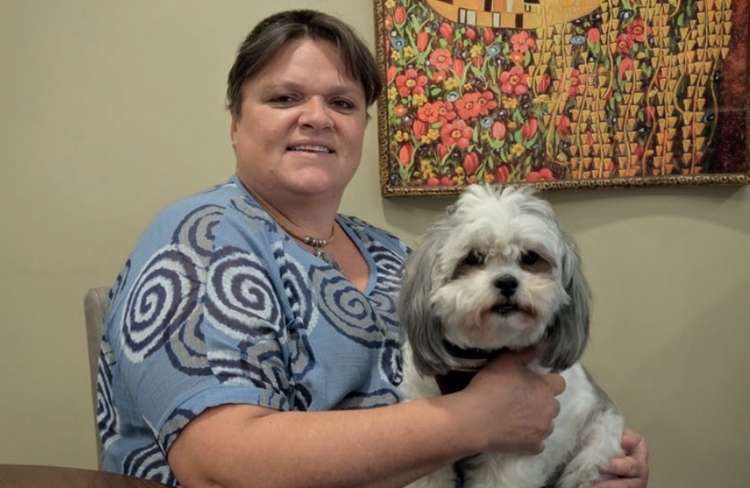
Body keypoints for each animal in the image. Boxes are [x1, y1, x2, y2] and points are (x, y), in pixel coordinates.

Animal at [402, 185, 624, 486]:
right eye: (474, 257)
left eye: (529, 258)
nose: (507, 282)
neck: (477, 360)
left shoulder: (516, 449)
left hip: (595, 448)